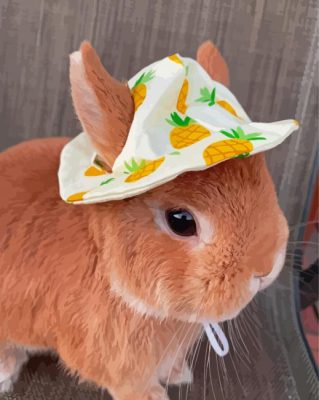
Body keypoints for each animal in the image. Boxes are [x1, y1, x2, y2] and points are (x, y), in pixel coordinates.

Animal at [0, 41, 290, 400]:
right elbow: (131, 383)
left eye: (265, 180)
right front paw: (155, 396)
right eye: (181, 221)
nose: (265, 268)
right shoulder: (112, 358)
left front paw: (180, 374)